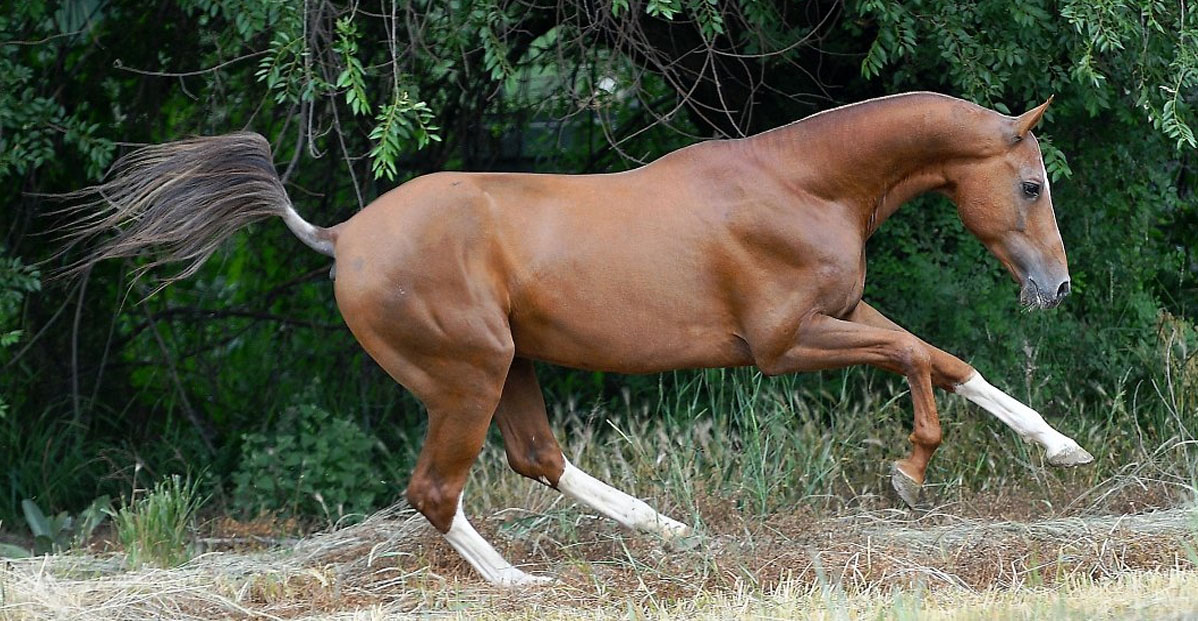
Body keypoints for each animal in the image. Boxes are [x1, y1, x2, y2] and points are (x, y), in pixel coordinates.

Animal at [63, 91, 1097, 585]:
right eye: (1033, 184)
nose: (1057, 285)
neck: (800, 183)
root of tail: (342, 237)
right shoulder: (783, 341)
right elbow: (918, 358)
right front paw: (909, 470)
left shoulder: (841, 314)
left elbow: (947, 357)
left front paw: (1063, 447)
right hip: (469, 374)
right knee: (436, 489)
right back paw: (520, 581)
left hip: (511, 365)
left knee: (536, 459)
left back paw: (666, 528)